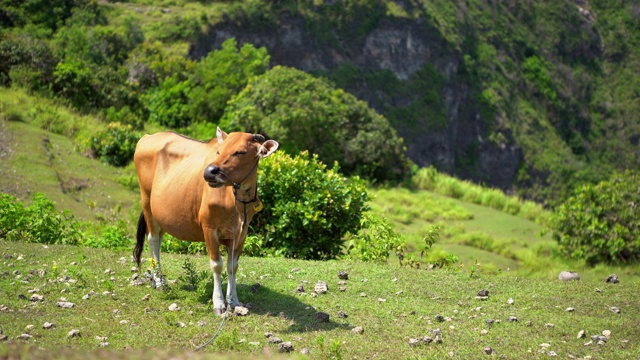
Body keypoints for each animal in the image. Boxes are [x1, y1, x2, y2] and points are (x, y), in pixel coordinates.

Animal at [132, 127, 278, 316]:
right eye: (219, 151)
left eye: (241, 152)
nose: (209, 172)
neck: (236, 202)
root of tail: (147, 137)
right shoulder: (209, 228)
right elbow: (217, 265)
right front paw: (219, 302)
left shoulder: (242, 232)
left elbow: (233, 266)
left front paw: (233, 300)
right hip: (146, 202)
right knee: (153, 240)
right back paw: (159, 282)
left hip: (161, 214)